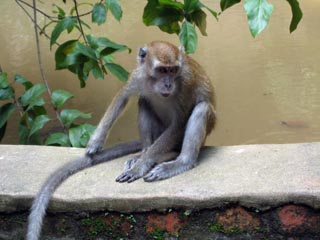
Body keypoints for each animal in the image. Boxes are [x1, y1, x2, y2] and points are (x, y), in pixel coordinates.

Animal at [26, 41, 215, 240]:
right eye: (162, 70)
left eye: (173, 70)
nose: (168, 84)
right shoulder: (138, 75)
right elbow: (122, 97)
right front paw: (96, 141)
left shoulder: (186, 83)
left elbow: (179, 123)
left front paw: (140, 167)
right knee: (144, 100)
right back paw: (143, 153)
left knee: (201, 108)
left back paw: (176, 161)